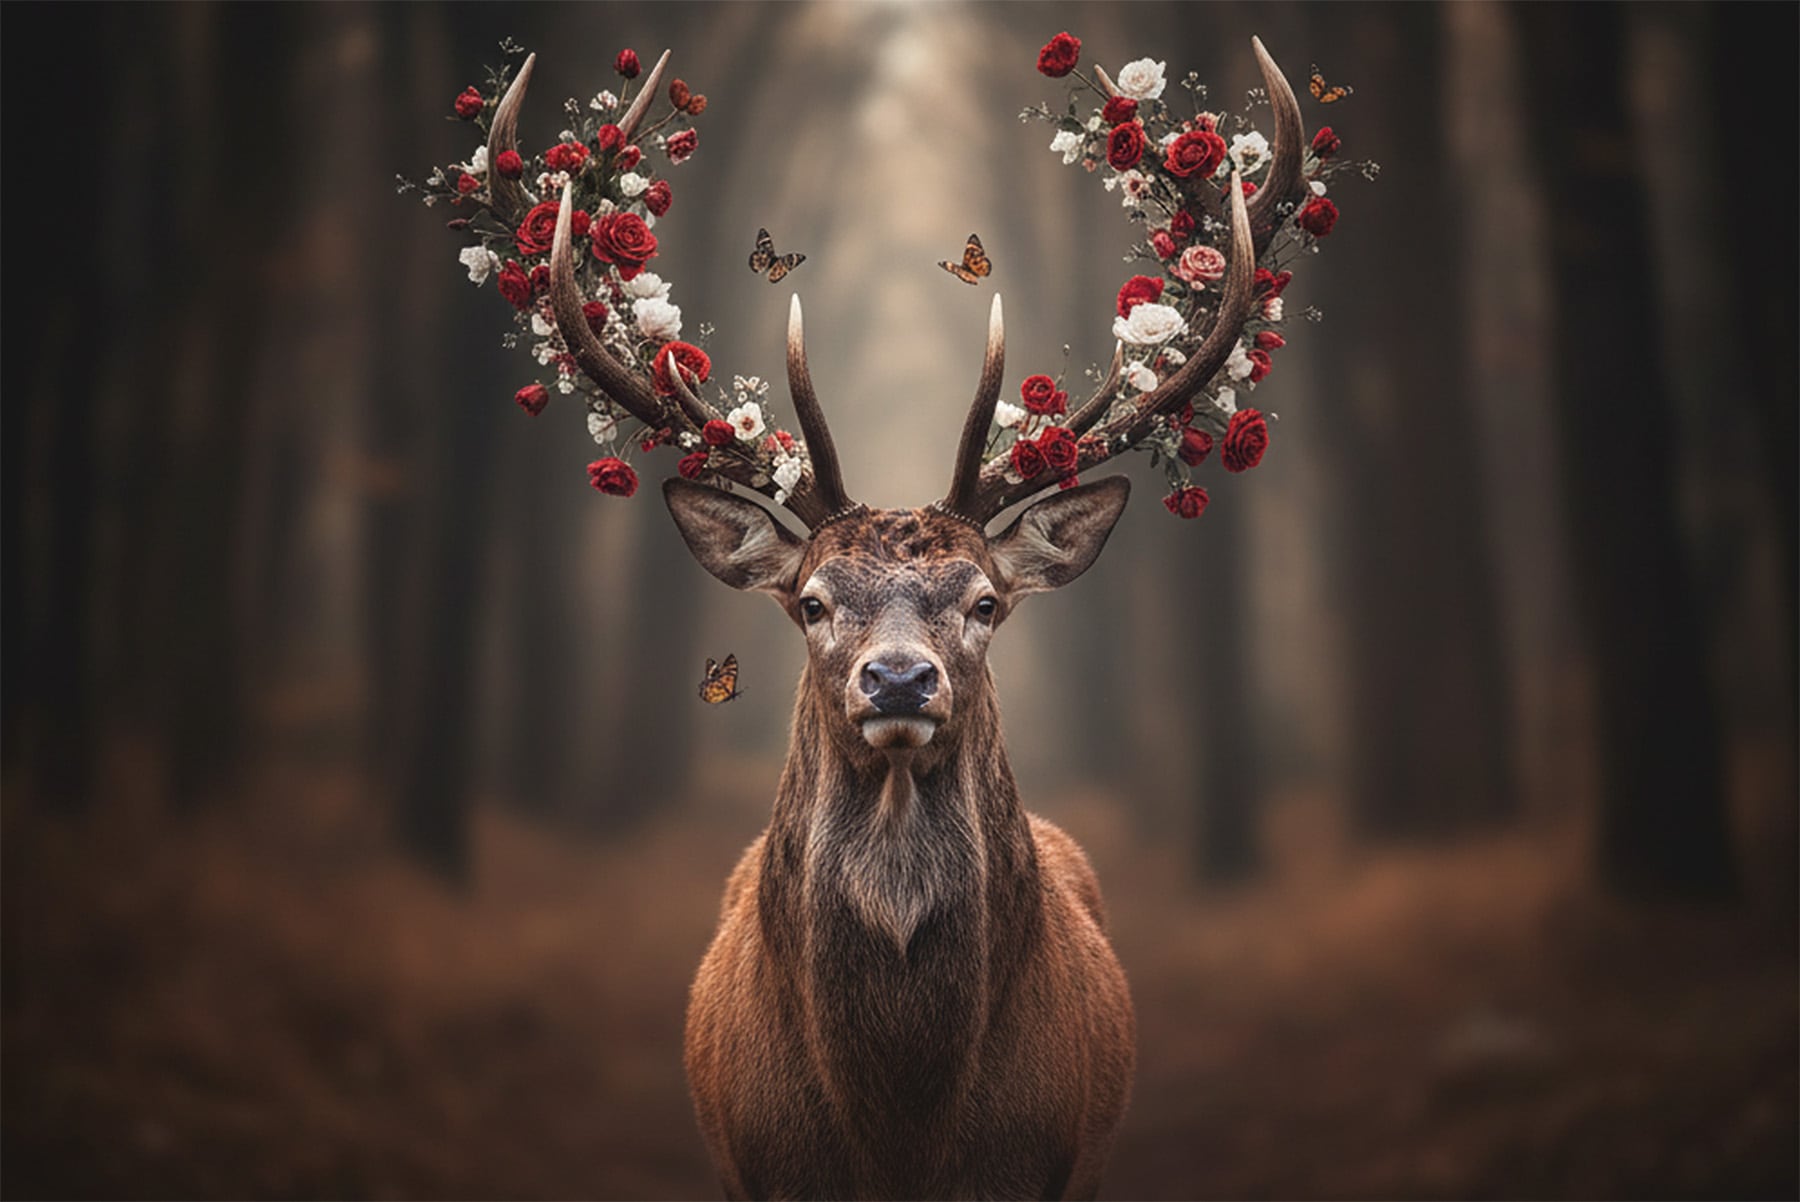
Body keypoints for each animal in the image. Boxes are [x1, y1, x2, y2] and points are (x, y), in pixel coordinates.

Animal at [481, 34, 1313, 1201]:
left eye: (986, 602)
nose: (902, 678)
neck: (902, 1134)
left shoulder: (1046, 1166)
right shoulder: (756, 1167)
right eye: (811, 601)